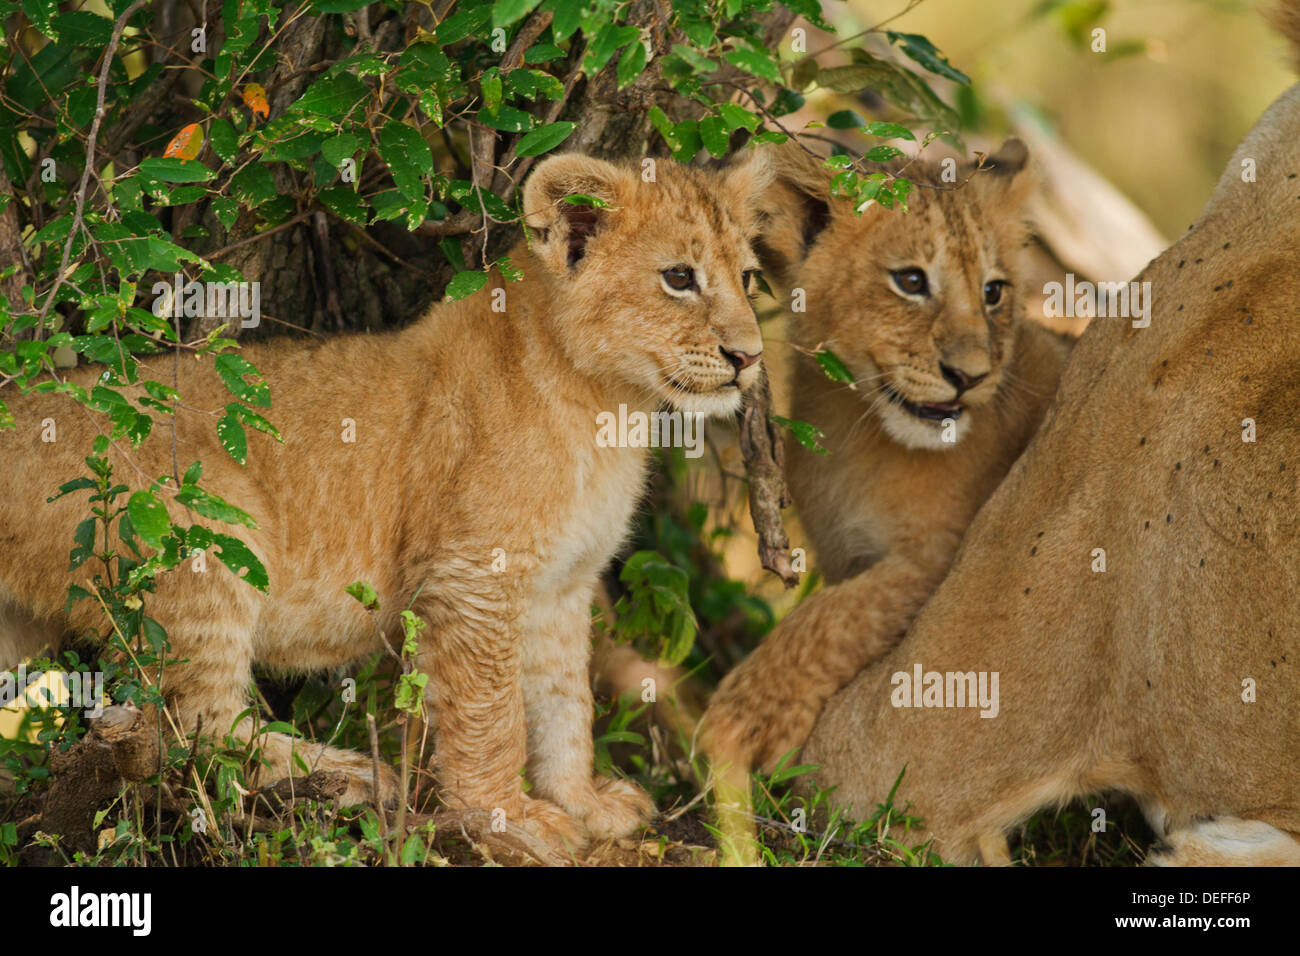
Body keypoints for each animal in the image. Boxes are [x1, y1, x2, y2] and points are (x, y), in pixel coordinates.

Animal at [0, 150, 771, 854]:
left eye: (748, 278)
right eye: (679, 278)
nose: (750, 357)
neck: (609, 405)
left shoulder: (562, 587)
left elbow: (563, 704)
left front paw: (580, 803)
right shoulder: (472, 576)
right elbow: (492, 713)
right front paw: (506, 817)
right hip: (199, 525)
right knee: (190, 732)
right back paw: (348, 776)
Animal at [701, 140, 1070, 778]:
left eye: (993, 292)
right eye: (911, 281)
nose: (971, 376)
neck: (857, 427)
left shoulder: (949, 555)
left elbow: (834, 618)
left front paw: (738, 727)